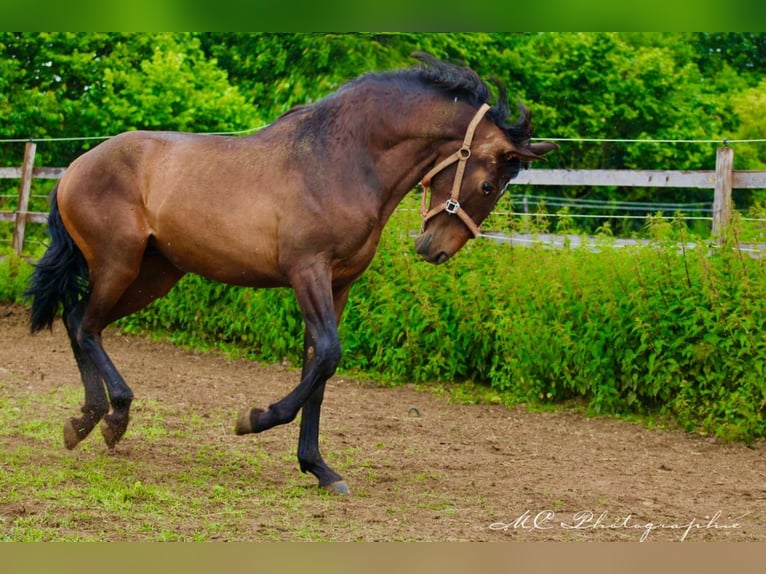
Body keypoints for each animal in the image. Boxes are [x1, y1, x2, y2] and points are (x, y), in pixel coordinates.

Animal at [27, 53, 560, 496]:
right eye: (489, 185)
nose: (435, 250)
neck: (341, 161)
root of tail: (75, 167)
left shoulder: (340, 285)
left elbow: (318, 369)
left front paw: (319, 469)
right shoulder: (308, 272)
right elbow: (326, 354)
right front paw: (253, 419)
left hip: (154, 276)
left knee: (80, 321)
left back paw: (90, 420)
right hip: (119, 264)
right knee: (84, 324)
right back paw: (109, 417)